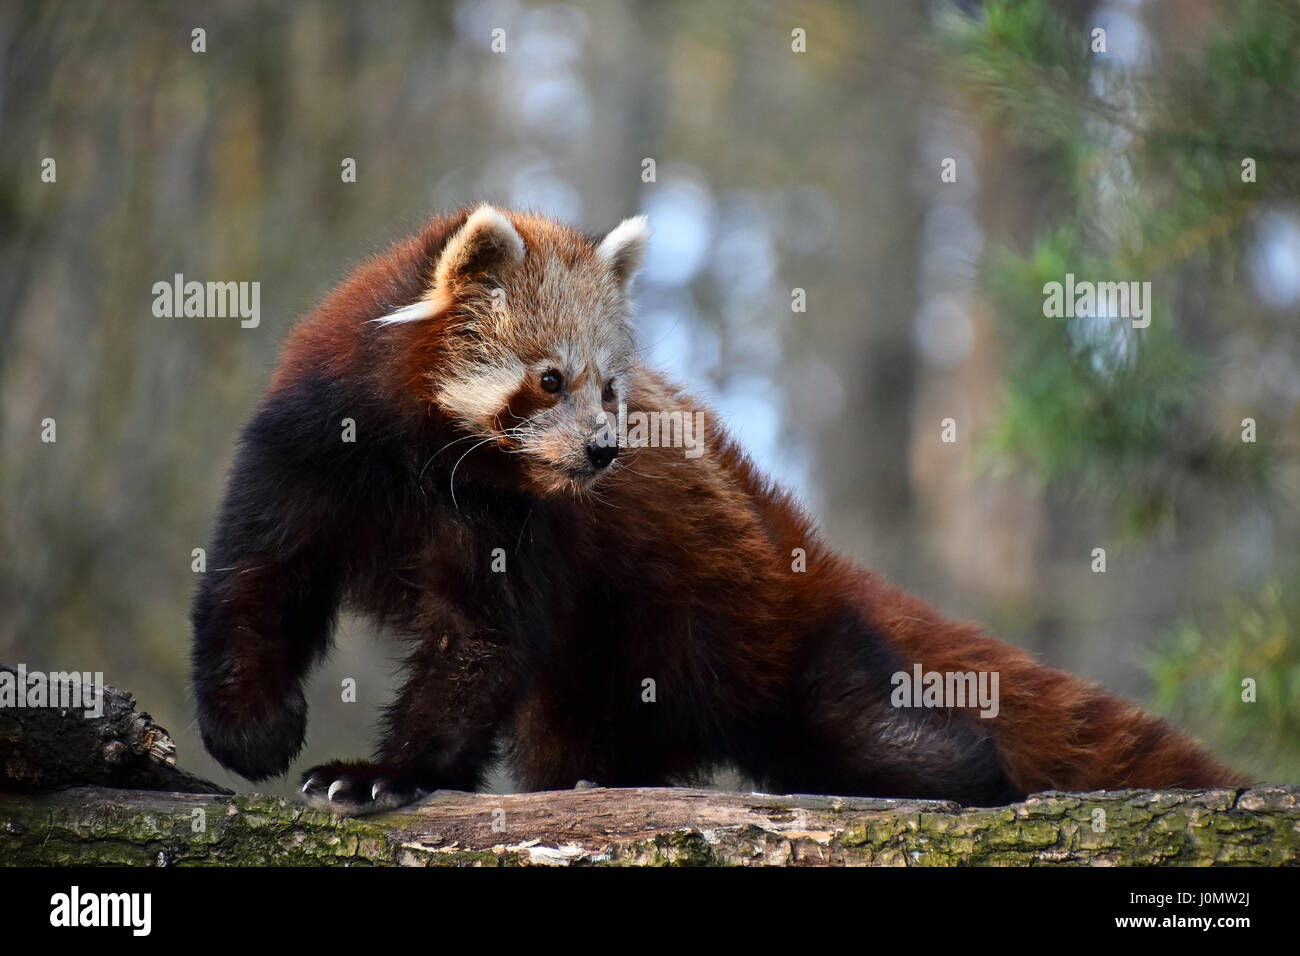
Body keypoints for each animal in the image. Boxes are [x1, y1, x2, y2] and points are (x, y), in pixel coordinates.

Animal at [188, 204, 1242, 816]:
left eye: (613, 389)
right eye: (550, 379)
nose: (604, 451)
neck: (428, 463)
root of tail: (806, 551)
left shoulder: (510, 529)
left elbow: (476, 647)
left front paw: (385, 773)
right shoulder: (306, 452)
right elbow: (253, 581)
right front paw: (252, 731)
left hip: (750, 641)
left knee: (865, 730)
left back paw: (974, 777)